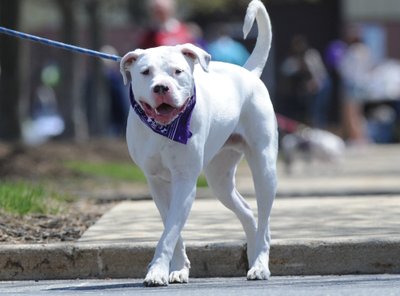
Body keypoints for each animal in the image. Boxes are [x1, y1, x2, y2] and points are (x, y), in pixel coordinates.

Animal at [119, 0, 276, 286]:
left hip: (265, 169)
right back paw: (253, 253)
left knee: (264, 218)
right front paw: (178, 269)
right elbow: (171, 228)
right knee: (247, 211)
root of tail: (248, 73)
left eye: (178, 71)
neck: (165, 129)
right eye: (145, 72)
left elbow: (169, 232)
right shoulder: (157, 182)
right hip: (219, 178)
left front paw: (157, 271)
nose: (161, 87)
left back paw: (260, 265)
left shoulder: (185, 180)